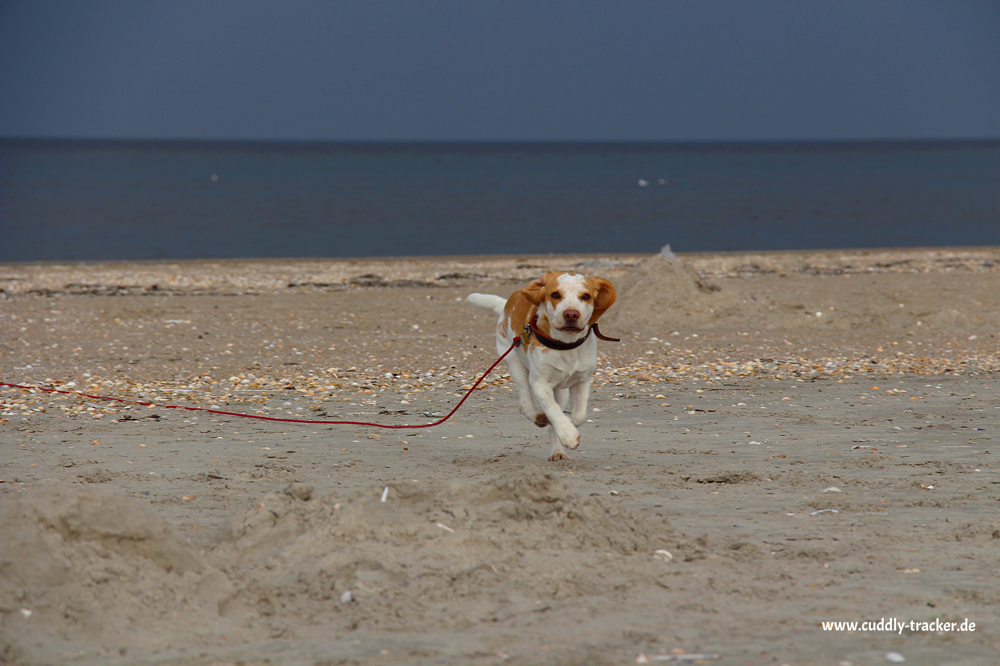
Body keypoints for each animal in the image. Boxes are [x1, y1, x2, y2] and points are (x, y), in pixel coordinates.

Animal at [468, 272, 616, 460]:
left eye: (586, 296)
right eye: (555, 295)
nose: (571, 314)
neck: (565, 345)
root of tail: (507, 305)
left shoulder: (582, 380)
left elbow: (579, 415)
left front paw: (567, 427)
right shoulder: (540, 383)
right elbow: (552, 409)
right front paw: (568, 434)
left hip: (561, 391)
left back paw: (557, 452)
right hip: (514, 364)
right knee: (525, 402)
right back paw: (539, 417)